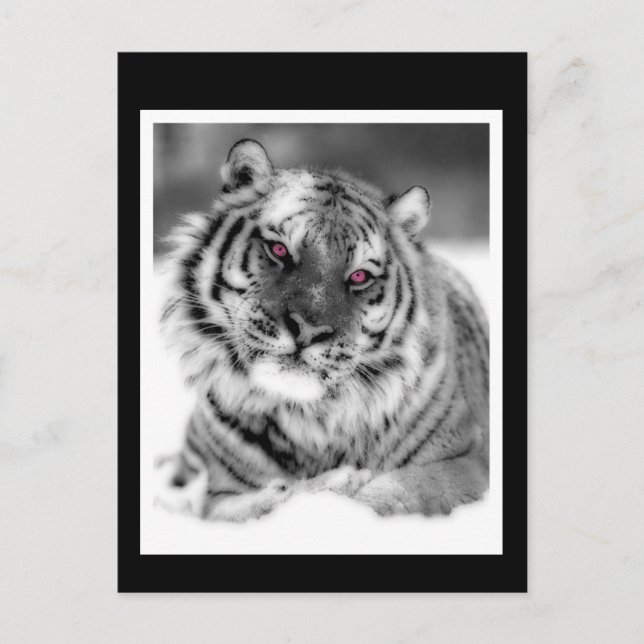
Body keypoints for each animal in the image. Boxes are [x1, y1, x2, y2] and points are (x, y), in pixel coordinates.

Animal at [154, 138, 489, 521]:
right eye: (279, 249)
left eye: (359, 276)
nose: (308, 330)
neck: (308, 422)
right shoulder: (219, 492)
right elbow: (247, 508)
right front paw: (329, 484)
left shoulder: (466, 463)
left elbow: (391, 494)